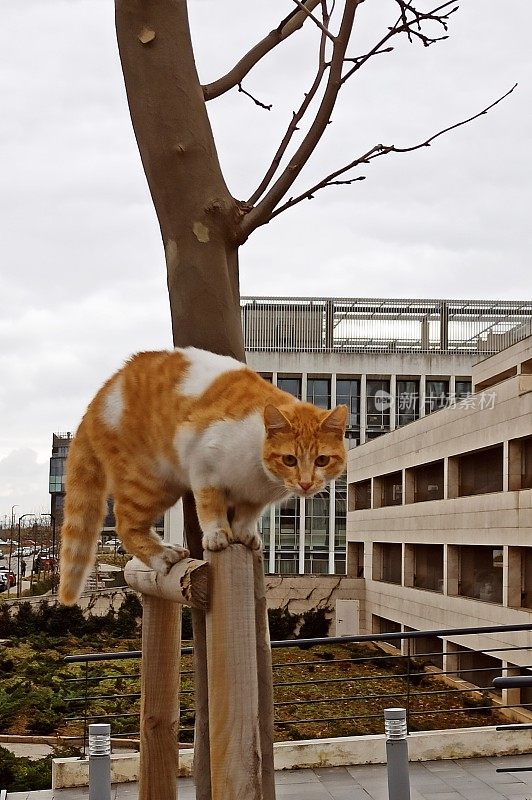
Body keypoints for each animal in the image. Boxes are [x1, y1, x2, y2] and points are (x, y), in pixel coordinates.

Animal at [59, 346, 350, 604]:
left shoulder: (255, 495)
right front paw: (217, 534)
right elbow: (211, 507)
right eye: (289, 459)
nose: (305, 483)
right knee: (125, 524)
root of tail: (97, 400)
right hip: (152, 481)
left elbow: (247, 515)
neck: (260, 472)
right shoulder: (204, 468)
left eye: (322, 460)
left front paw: (244, 533)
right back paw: (162, 555)